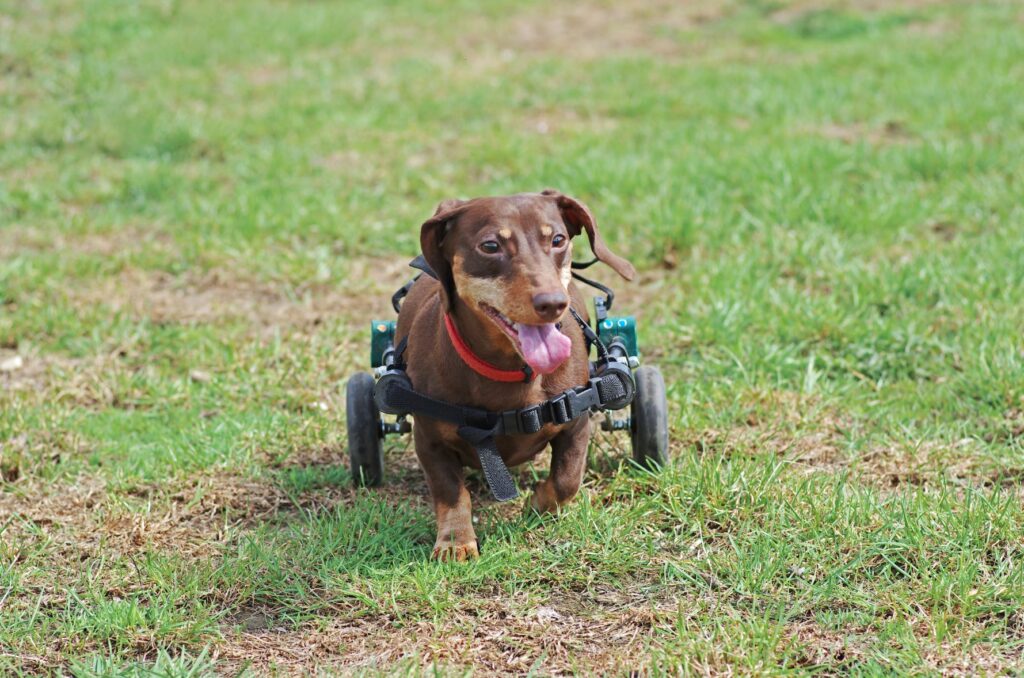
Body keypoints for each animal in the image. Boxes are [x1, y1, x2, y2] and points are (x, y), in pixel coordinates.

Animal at [395, 191, 634, 561]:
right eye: (490, 246)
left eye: (558, 239)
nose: (553, 303)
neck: (509, 370)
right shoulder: (429, 438)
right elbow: (450, 491)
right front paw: (455, 541)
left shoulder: (577, 420)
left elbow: (567, 479)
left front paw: (537, 504)